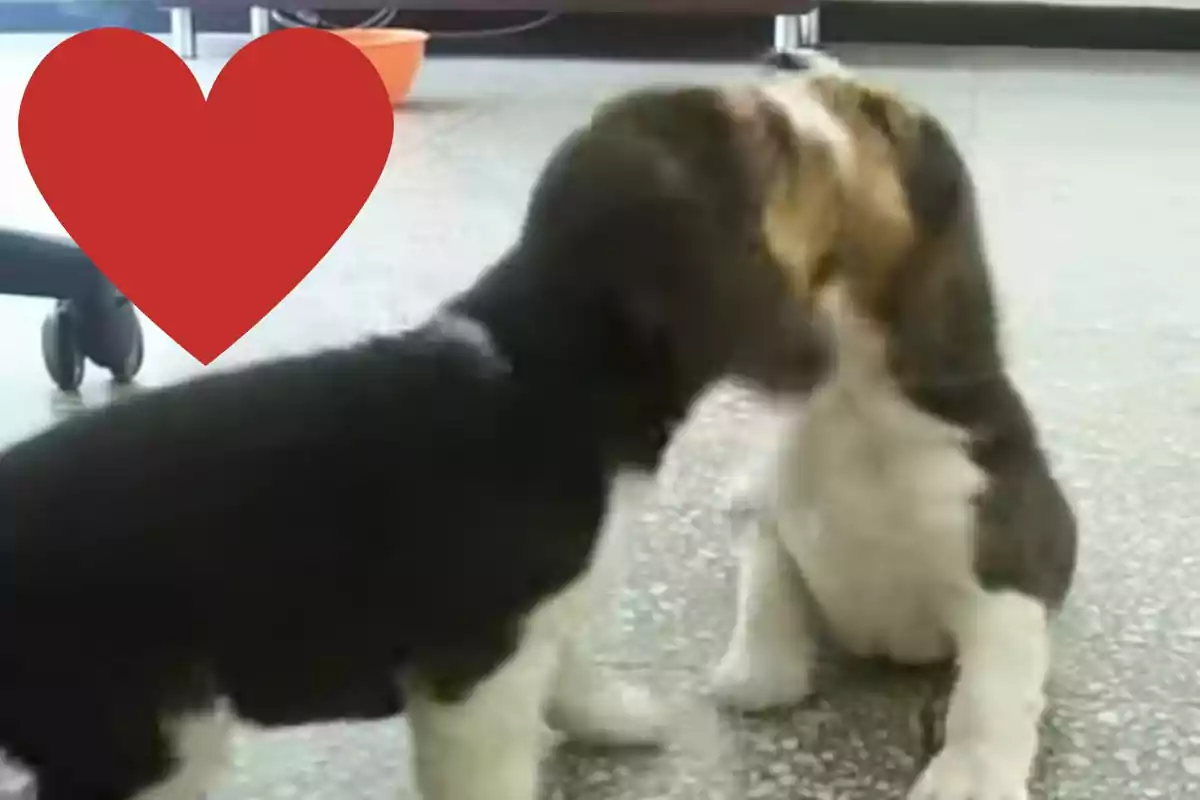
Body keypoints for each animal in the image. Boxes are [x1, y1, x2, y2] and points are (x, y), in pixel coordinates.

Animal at [0, 84, 825, 796]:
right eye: (756, 133)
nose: (786, 85)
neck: (551, 371)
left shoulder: (546, 620)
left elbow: (574, 665)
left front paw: (611, 716)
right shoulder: (478, 674)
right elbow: (496, 770)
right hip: (149, 736)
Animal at [710, 57, 1080, 800]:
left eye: (876, 114)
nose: (783, 57)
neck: (850, 399)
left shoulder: (1004, 581)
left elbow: (988, 693)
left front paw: (970, 774)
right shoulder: (773, 521)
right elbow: (766, 591)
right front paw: (759, 674)